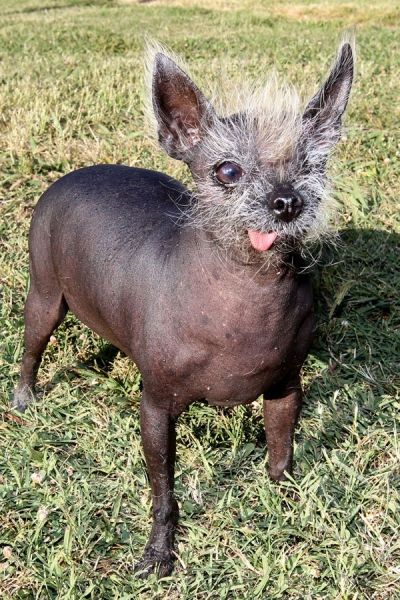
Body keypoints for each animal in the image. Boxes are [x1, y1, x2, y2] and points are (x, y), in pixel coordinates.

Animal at [13, 41, 354, 576]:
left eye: (312, 165)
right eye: (228, 171)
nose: (286, 201)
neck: (248, 293)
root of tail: (73, 175)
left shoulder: (286, 389)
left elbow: (281, 454)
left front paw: (289, 504)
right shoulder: (155, 407)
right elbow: (163, 492)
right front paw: (159, 550)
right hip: (45, 297)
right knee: (32, 348)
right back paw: (25, 397)